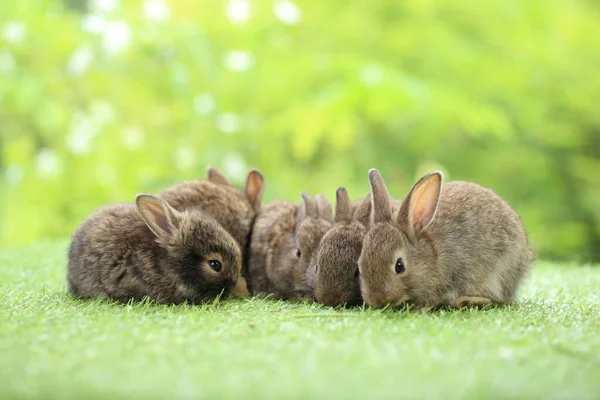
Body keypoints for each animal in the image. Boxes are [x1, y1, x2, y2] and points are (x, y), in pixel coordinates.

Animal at [358, 169, 532, 310]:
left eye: (399, 266)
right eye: (360, 265)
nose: (376, 299)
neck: (430, 255)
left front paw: (419, 309)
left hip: (500, 274)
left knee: (501, 300)